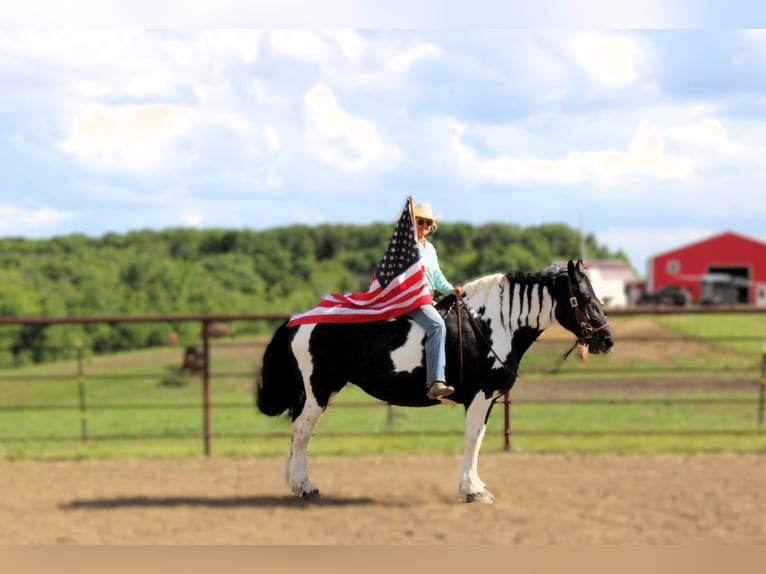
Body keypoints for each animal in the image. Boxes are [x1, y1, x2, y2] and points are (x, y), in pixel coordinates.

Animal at [257, 260, 614, 503]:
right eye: (583, 297)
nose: (606, 339)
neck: (492, 325)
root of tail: (299, 318)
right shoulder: (481, 396)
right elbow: (472, 438)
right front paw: (472, 491)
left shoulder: (488, 400)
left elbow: (478, 438)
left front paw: (475, 486)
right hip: (317, 391)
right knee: (302, 432)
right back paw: (305, 487)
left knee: (299, 433)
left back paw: (296, 483)